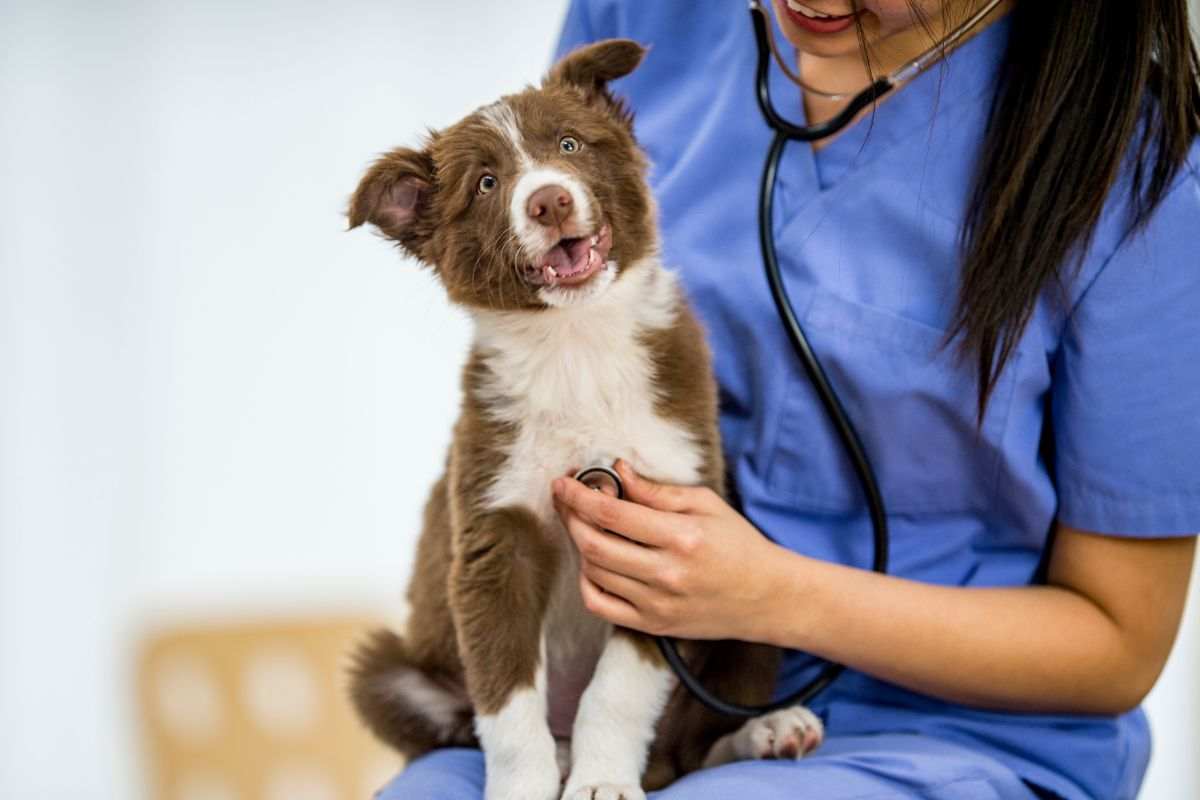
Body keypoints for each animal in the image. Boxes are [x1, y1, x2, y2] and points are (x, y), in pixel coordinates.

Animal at [343, 40, 820, 800]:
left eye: (568, 145)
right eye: (485, 183)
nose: (549, 199)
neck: (575, 346)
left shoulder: (663, 530)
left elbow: (618, 690)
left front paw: (603, 781)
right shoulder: (496, 535)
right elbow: (508, 703)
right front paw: (527, 787)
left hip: (752, 589)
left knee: (692, 746)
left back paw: (767, 731)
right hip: (388, 671)